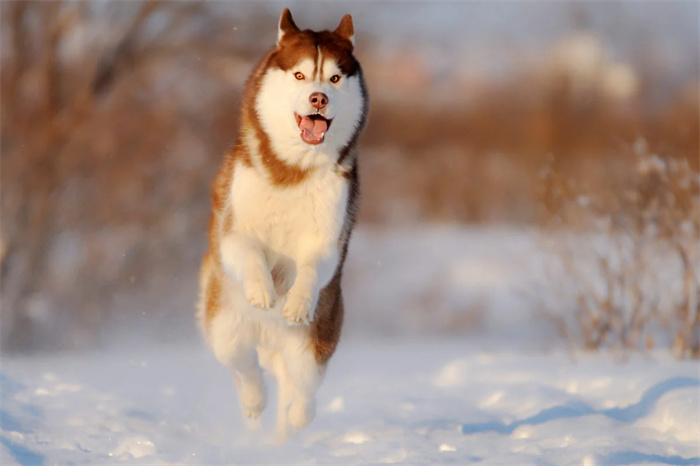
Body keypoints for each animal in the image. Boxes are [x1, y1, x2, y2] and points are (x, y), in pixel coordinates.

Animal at [197, 10, 370, 440]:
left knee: (302, 392)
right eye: (300, 75)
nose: (318, 98)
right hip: (224, 325)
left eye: (334, 78)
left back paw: (294, 419)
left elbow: (312, 265)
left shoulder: (328, 237)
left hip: (313, 343)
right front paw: (262, 289)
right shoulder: (234, 227)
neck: (294, 169)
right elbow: (245, 250)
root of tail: (269, 338)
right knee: (244, 368)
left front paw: (296, 300)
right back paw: (254, 401)